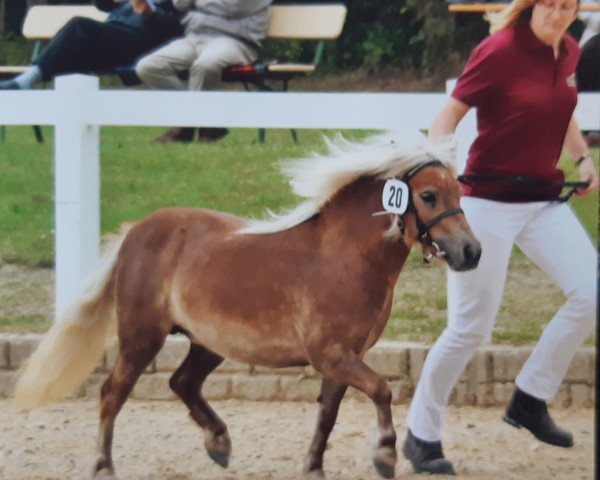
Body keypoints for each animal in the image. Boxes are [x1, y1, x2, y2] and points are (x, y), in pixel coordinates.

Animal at [15, 133, 482, 480]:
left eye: (458, 191)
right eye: (428, 195)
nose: (471, 252)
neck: (344, 256)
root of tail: (136, 230)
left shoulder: (347, 357)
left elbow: (328, 415)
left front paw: (314, 468)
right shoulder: (330, 353)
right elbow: (382, 389)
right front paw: (384, 454)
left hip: (208, 343)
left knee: (183, 382)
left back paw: (219, 443)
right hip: (141, 338)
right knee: (113, 393)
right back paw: (104, 466)